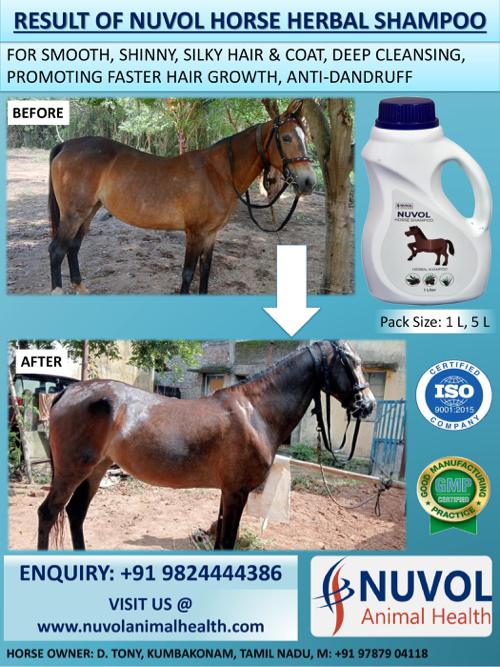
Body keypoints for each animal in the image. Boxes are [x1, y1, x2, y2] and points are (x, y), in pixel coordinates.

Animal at [37, 340, 375, 551]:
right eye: (351, 362)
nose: (368, 405)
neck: (256, 412)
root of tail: (68, 392)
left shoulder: (228, 491)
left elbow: (222, 541)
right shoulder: (237, 492)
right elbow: (228, 542)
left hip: (96, 469)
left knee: (76, 513)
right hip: (73, 470)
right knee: (48, 513)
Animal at [47, 99, 316, 295]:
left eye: (305, 136)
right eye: (286, 138)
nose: (309, 182)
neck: (218, 173)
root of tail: (66, 146)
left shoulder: (210, 234)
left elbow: (205, 269)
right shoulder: (194, 233)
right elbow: (188, 272)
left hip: (88, 212)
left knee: (73, 247)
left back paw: (80, 287)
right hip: (73, 215)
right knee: (57, 250)